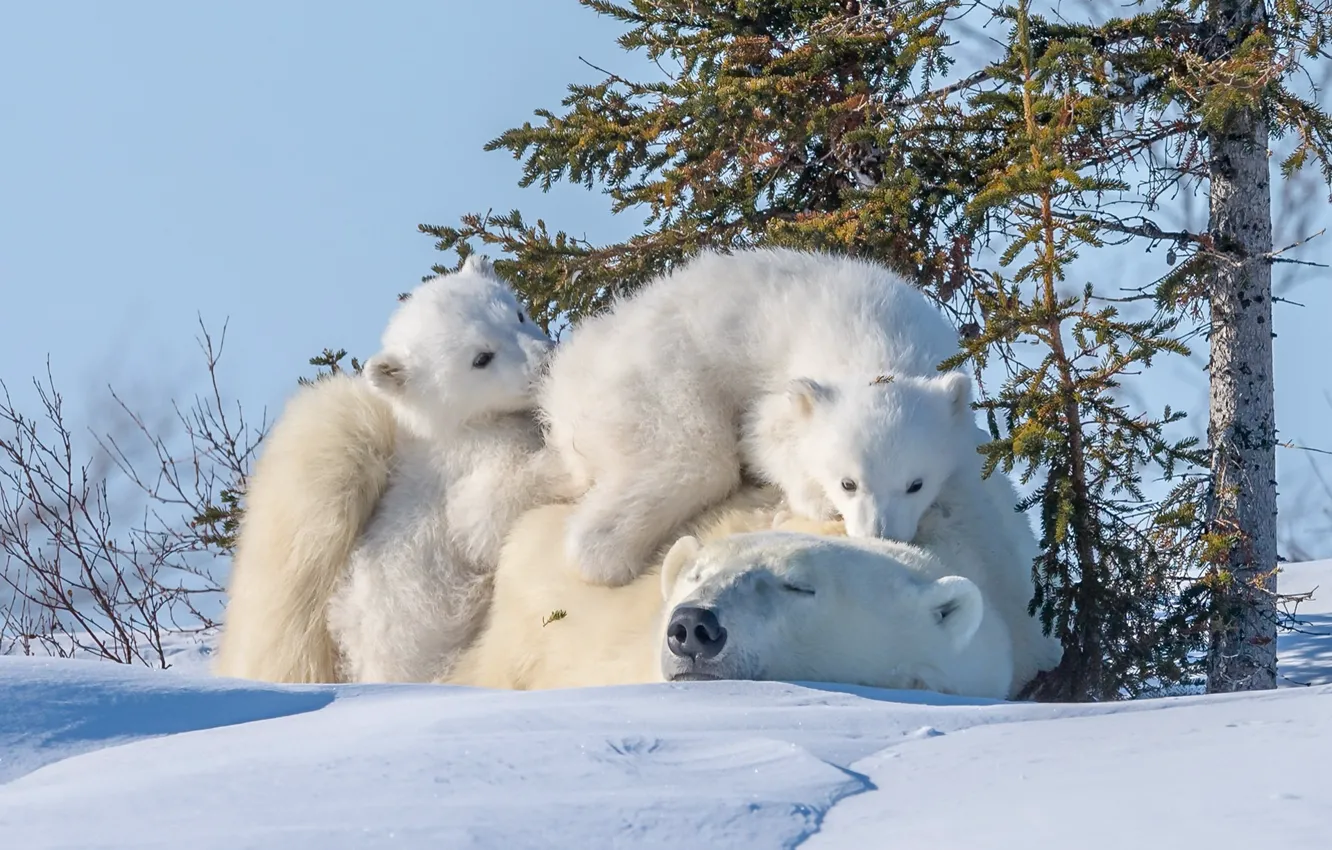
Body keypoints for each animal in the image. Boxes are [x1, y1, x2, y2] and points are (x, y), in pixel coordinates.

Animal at [217, 258, 556, 687]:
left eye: (516, 314)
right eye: (481, 357)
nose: (545, 358)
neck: (448, 427)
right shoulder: (469, 458)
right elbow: (489, 511)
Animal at [538, 246, 969, 586]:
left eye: (916, 484)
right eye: (848, 483)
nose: (879, 534)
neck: (879, 339)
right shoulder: (790, 379)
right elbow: (763, 435)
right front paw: (818, 502)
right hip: (657, 380)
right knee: (695, 459)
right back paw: (607, 557)